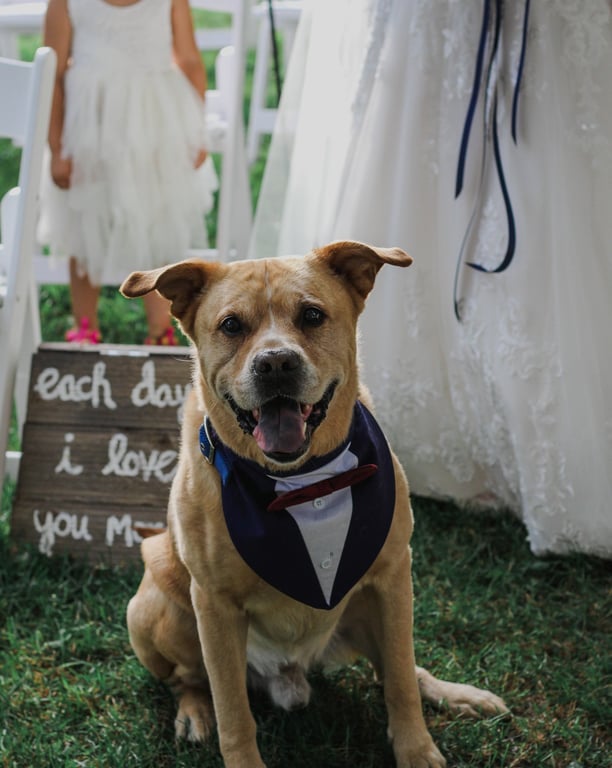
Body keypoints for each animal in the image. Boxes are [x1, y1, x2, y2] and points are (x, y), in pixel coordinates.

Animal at [119, 243, 506, 768]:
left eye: (312, 315)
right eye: (231, 325)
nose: (276, 364)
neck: (302, 484)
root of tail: (290, 674)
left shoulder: (393, 575)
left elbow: (401, 678)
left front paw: (416, 748)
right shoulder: (214, 605)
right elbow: (233, 714)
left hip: (367, 608)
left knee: (398, 669)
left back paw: (456, 694)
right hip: (155, 601)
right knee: (191, 680)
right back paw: (194, 712)